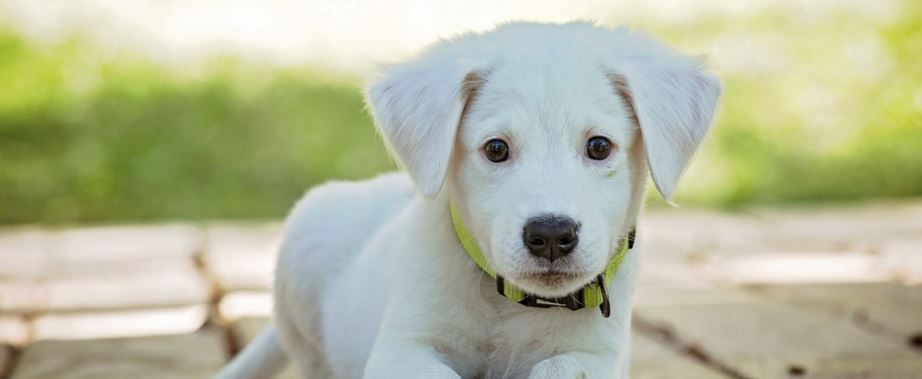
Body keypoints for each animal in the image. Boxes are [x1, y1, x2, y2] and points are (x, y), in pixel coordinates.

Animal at [217, 21, 720, 379]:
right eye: (496, 149)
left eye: (599, 146)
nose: (551, 235)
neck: (510, 306)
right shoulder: (402, 348)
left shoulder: (596, 355)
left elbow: (561, 367)